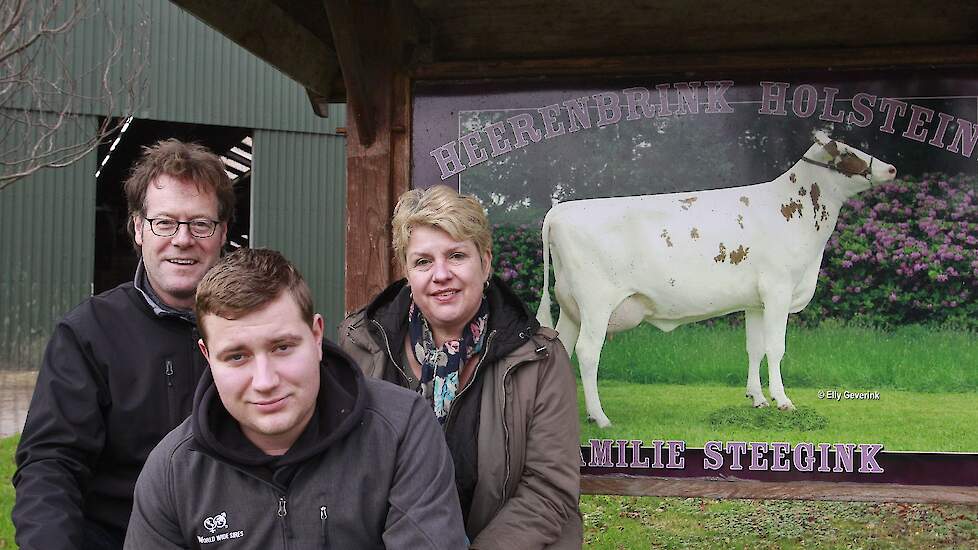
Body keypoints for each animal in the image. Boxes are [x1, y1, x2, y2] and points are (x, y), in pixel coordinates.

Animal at [536, 133, 896, 426]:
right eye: (847, 152)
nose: (891, 169)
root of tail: (559, 211)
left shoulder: (755, 302)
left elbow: (755, 348)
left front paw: (757, 399)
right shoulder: (778, 289)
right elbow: (775, 347)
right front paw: (782, 401)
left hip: (571, 307)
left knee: (563, 347)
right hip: (595, 303)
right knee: (587, 352)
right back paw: (599, 417)